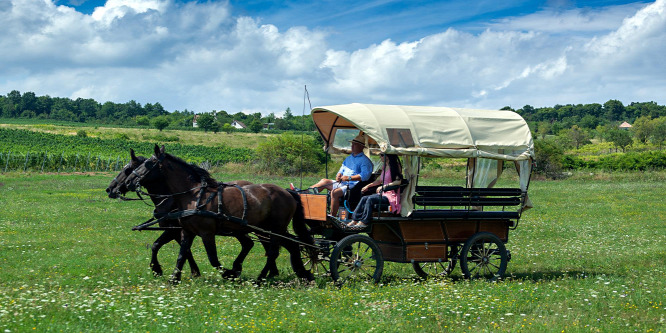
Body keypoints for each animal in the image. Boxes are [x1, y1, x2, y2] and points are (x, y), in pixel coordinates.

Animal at [105, 149, 274, 278]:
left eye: (127, 170)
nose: (110, 189)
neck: (172, 198)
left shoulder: (174, 230)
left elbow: (165, 247)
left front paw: (161, 269)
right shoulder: (179, 230)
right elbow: (178, 249)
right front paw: (191, 272)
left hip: (257, 229)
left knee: (268, 246)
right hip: (238, 230)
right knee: (250, 244)